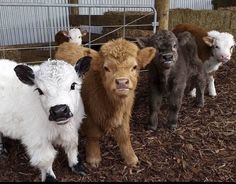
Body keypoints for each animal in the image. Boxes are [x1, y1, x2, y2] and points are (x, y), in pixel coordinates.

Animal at [80, 38, 156, 167]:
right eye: (106, 68)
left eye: (134, 67)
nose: (122, 82)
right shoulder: (90, 115)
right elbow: (93, 135)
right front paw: (93, 158)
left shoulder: (125, 114)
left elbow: (124, 136)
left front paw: (131, 158)